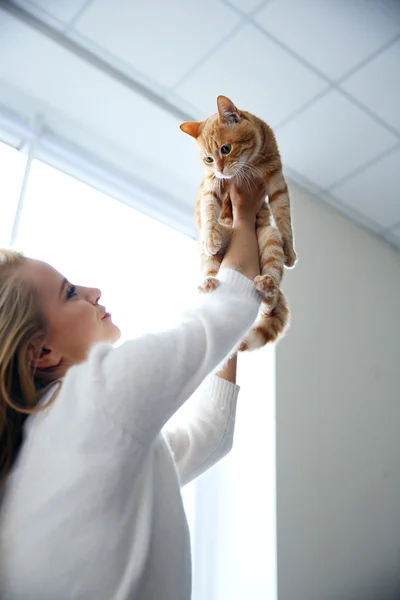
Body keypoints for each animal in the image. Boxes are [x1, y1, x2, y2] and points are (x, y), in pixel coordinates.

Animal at [180, 95, 296, 350]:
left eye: (226, 149)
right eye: (209, 159)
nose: (221, 169)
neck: (252, 163)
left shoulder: (277, 183)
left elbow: (285, 217)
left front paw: (291, 252)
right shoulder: (212, 184)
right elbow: (209, 209)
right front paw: (210, 235)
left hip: (269, 239)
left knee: (269, 302)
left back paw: (266, 286)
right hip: (211, 255)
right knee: (212, 269)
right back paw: (208, 283)